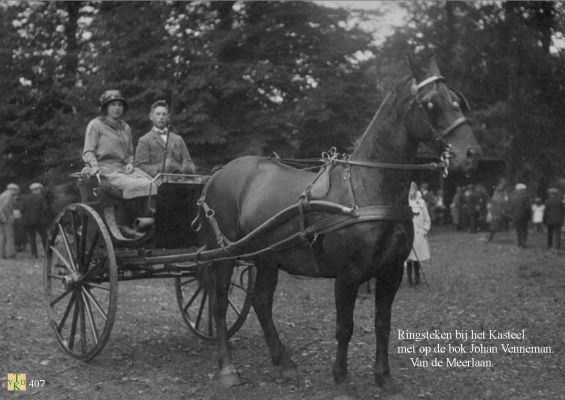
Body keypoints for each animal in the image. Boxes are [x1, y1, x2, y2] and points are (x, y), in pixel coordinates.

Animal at [198, 57, 480, 400]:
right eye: (430, 104)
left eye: (457, 101)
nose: (472, 154)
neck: (367, 189)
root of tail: (217, 173)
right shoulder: (347, 276)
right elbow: (344, 328)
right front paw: (342, 382)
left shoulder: (391, 272)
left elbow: (383, 324)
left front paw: (384, 380)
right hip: (223, 255)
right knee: (219, 304)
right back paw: (228, 367)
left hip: (267, 258)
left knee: (261, 303)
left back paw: (284, 363)